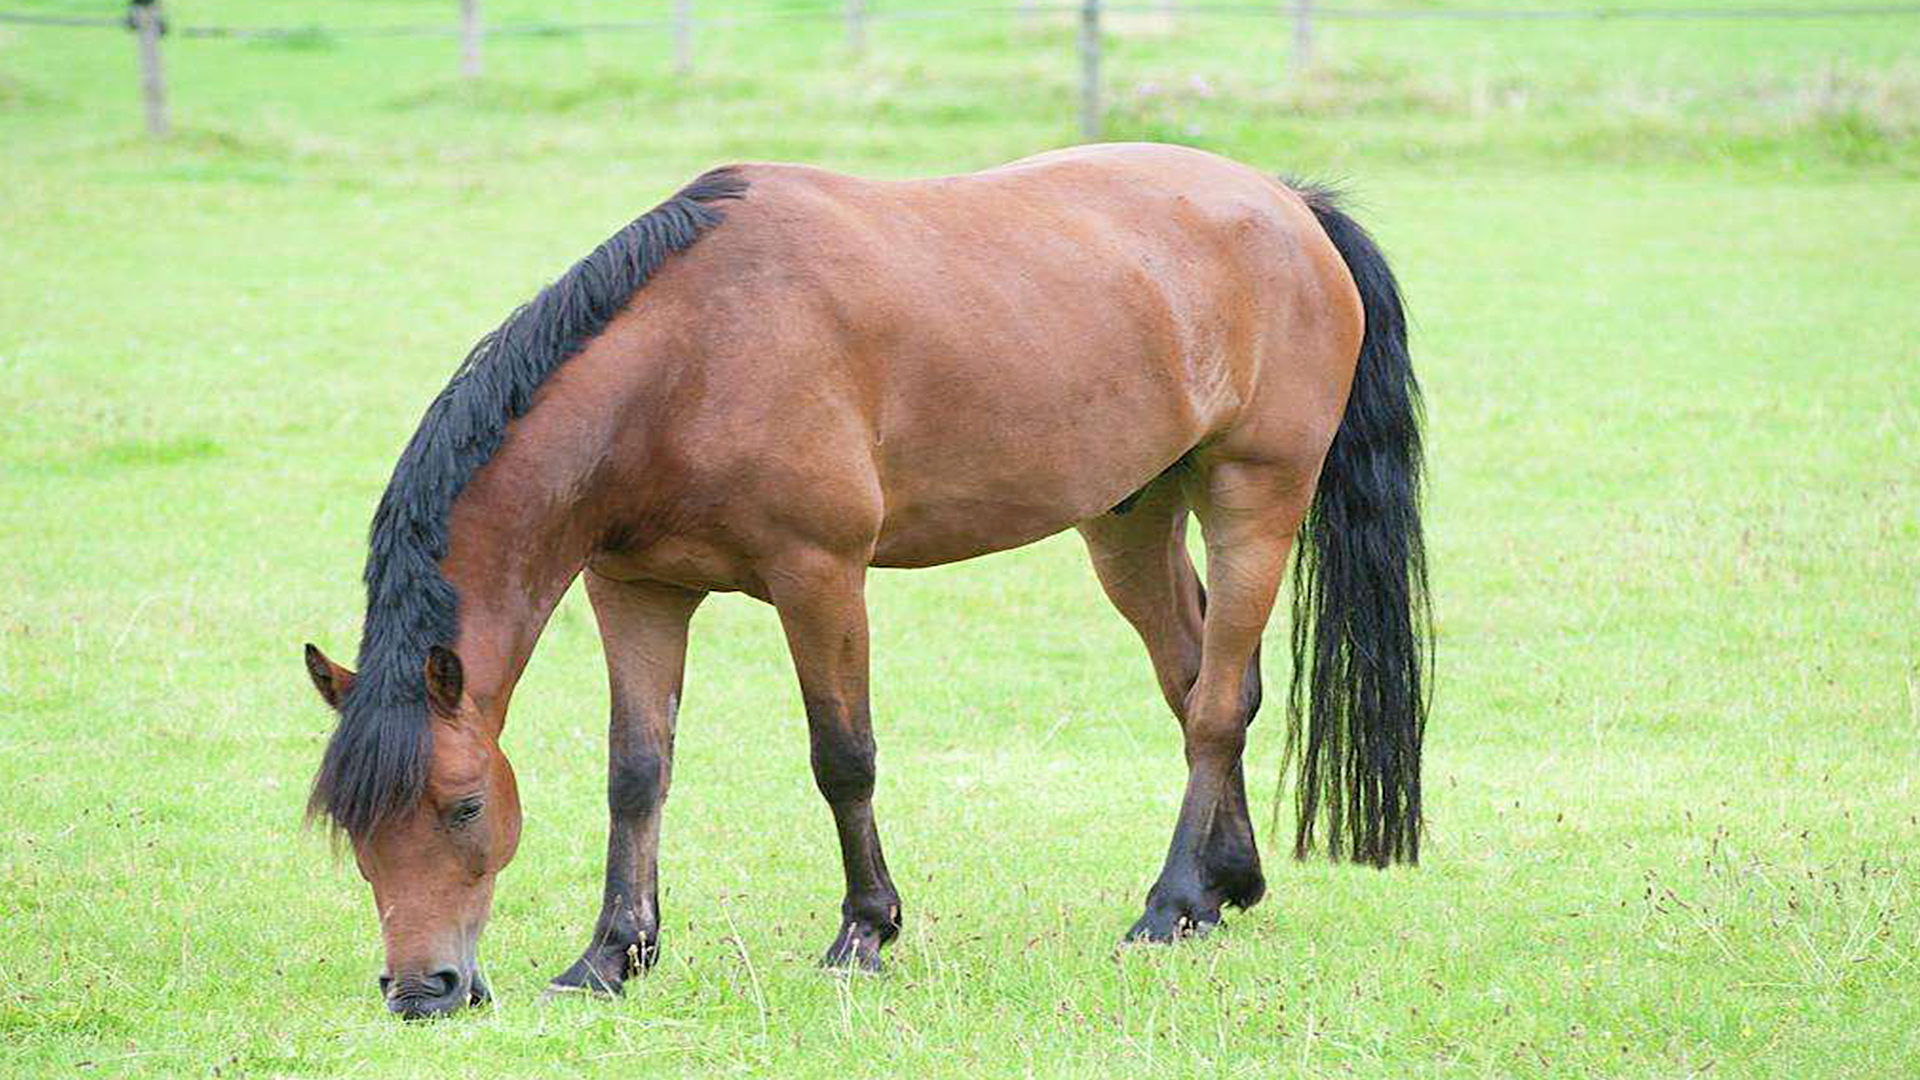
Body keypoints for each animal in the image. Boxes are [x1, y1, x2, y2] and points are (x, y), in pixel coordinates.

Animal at [299, 143, 1428, 1014]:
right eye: (354, 829)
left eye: (461, 809)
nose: (422, 990)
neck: (688, 358)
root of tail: (1290, 202)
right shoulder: (635, 591)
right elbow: (636, 771)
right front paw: (611, 956)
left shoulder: (822, 576)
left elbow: (842, 758)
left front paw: (864, 933)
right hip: (1133, 516)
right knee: (1203, 682)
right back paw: (1222, 887)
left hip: (1254, 497)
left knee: (1213, 706)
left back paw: (1167, 905)